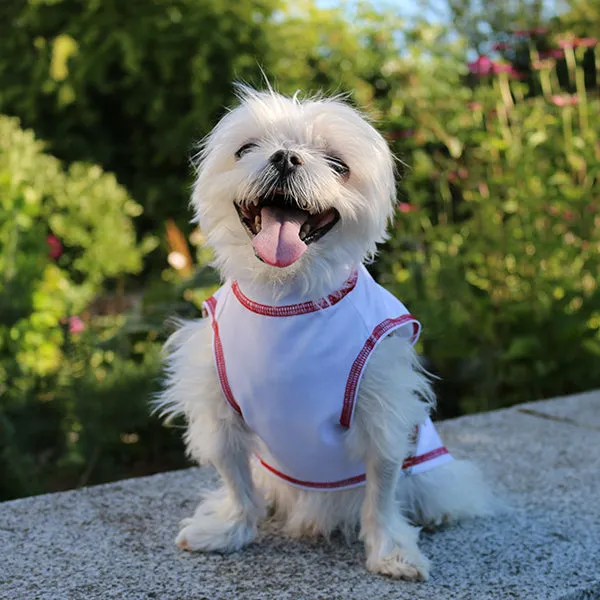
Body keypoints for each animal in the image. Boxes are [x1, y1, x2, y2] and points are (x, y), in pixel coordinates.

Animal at [157, 85, 494, 580]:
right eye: (246, 148)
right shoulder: (220, 410)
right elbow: (235, 479)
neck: (287, 295)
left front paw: (391, 552)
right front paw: (229, 529)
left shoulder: (382, 414)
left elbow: (382, 494)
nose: (285, 157)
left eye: (337, 163)